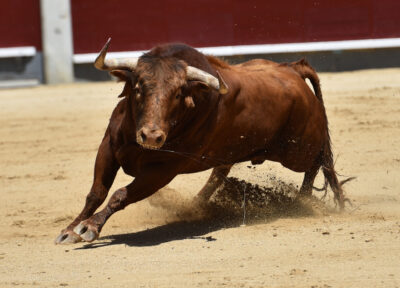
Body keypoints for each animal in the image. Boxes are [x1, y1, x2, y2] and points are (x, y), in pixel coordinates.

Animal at [55, 38, 346, 244]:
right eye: (138, 87)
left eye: (177, 94)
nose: (152, 136)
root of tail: (293, 69)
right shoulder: (108, 147)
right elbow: (96, 192)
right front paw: (71, 229)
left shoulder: (162, 171)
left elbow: (119, 194)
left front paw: (90, 227)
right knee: (220, 173)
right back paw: (194, 205)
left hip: (298, 150)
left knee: (318, 163)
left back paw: (302, 201)